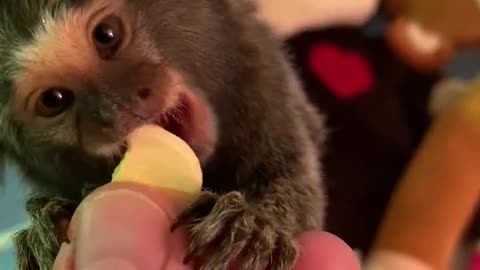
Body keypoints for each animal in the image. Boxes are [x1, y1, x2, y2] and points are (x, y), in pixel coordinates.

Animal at [0, 0, 326, 270]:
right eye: (53, 100)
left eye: (107, 34)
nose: (113, 108)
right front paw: (44, 223)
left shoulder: (267, 83)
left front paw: (254, 223)